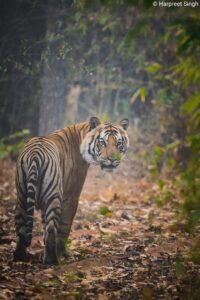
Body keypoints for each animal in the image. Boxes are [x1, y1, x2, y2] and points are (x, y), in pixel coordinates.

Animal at [13, 117, 130, 264]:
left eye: (119, 143)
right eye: (102, 142)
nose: (113, 160)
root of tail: (35, 154)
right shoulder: (71, 196)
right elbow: (64, 227)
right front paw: (63, 253)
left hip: (21, 197)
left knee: (21, 230)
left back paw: (20, 258)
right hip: (53, 197)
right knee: (51, 229)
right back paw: (53, 261)